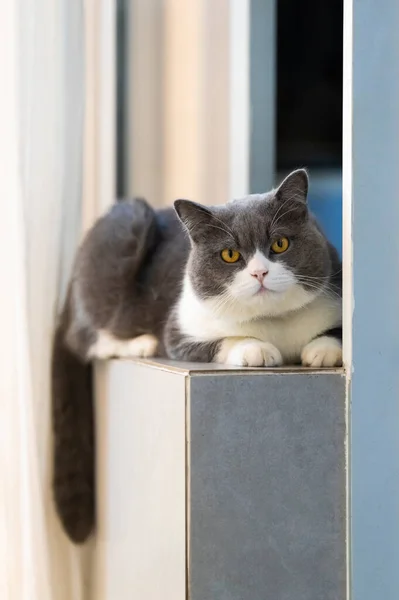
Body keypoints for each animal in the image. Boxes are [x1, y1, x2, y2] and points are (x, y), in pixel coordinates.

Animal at [51, 168, 342, 544]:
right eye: (230, 255)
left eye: (280, 244)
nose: (260, 272)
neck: (273, 321)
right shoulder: (179, 331)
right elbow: (225, 339)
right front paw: (256, 348)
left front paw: (323, 349)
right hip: (126, 227)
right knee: (84, 336)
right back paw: (139, 343)